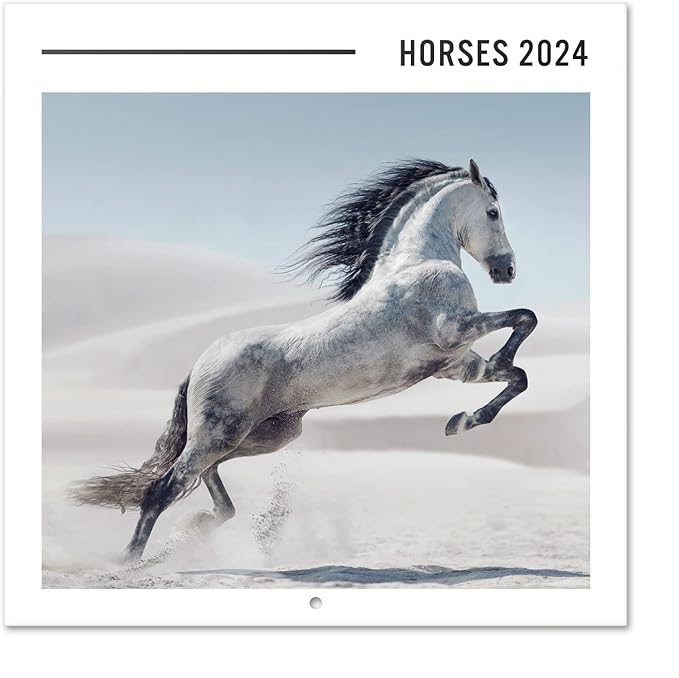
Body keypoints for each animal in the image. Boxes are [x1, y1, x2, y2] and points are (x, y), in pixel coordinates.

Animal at [72, 158, 537, 561]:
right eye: (493, 212)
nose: (508, 270)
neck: (417, 263)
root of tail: (199, 364)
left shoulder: (456, 365)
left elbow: (517, 376)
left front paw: (461, 421)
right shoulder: (454, 330)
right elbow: (525, 318)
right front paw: (475, 400)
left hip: (263, 435)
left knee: (206, 478)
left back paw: (200, 524)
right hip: (220, 433)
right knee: (163, 488)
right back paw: (130, 561)